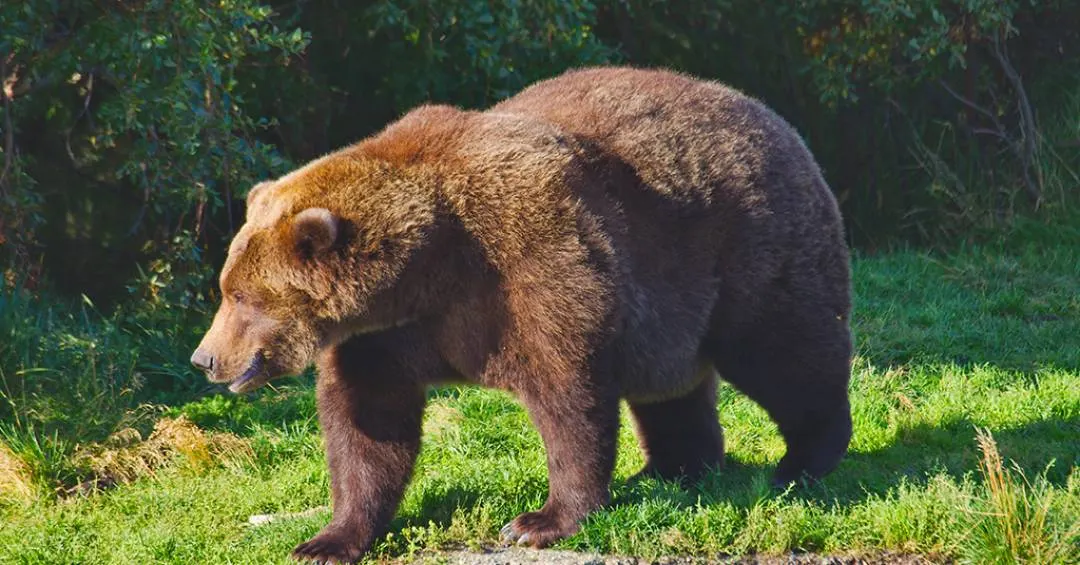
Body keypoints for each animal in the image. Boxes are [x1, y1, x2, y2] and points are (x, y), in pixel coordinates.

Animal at [190, 66, 853, 564]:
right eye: (226, 288)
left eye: (243, 296)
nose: (205, 358)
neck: (423, 271)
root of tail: (770, 115)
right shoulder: (384, 337)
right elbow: (368, 425)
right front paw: (327, 539)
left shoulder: (528, 260)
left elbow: (568, 393)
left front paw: (540, 520)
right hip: (676, 309)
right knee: (672, 389)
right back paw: (669, 472)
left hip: (745, 244)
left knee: (786, 351)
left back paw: (802, 462)